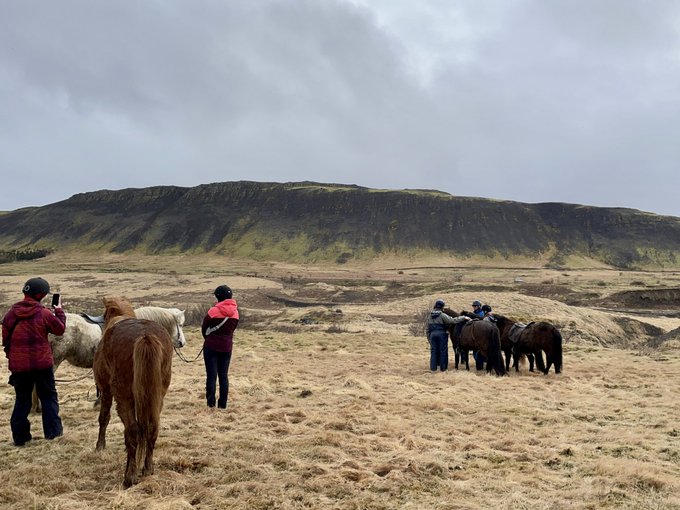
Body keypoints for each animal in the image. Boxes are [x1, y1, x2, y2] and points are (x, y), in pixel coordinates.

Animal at [91, 296, 174, 488]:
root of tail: (146, 336)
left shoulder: (106, 390)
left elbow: (104, 417)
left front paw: (100, 446)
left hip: (123, 397)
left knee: (132, 430)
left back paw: (129, 476)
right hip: (157, 396)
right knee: (152, 427)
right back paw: (148, 469)